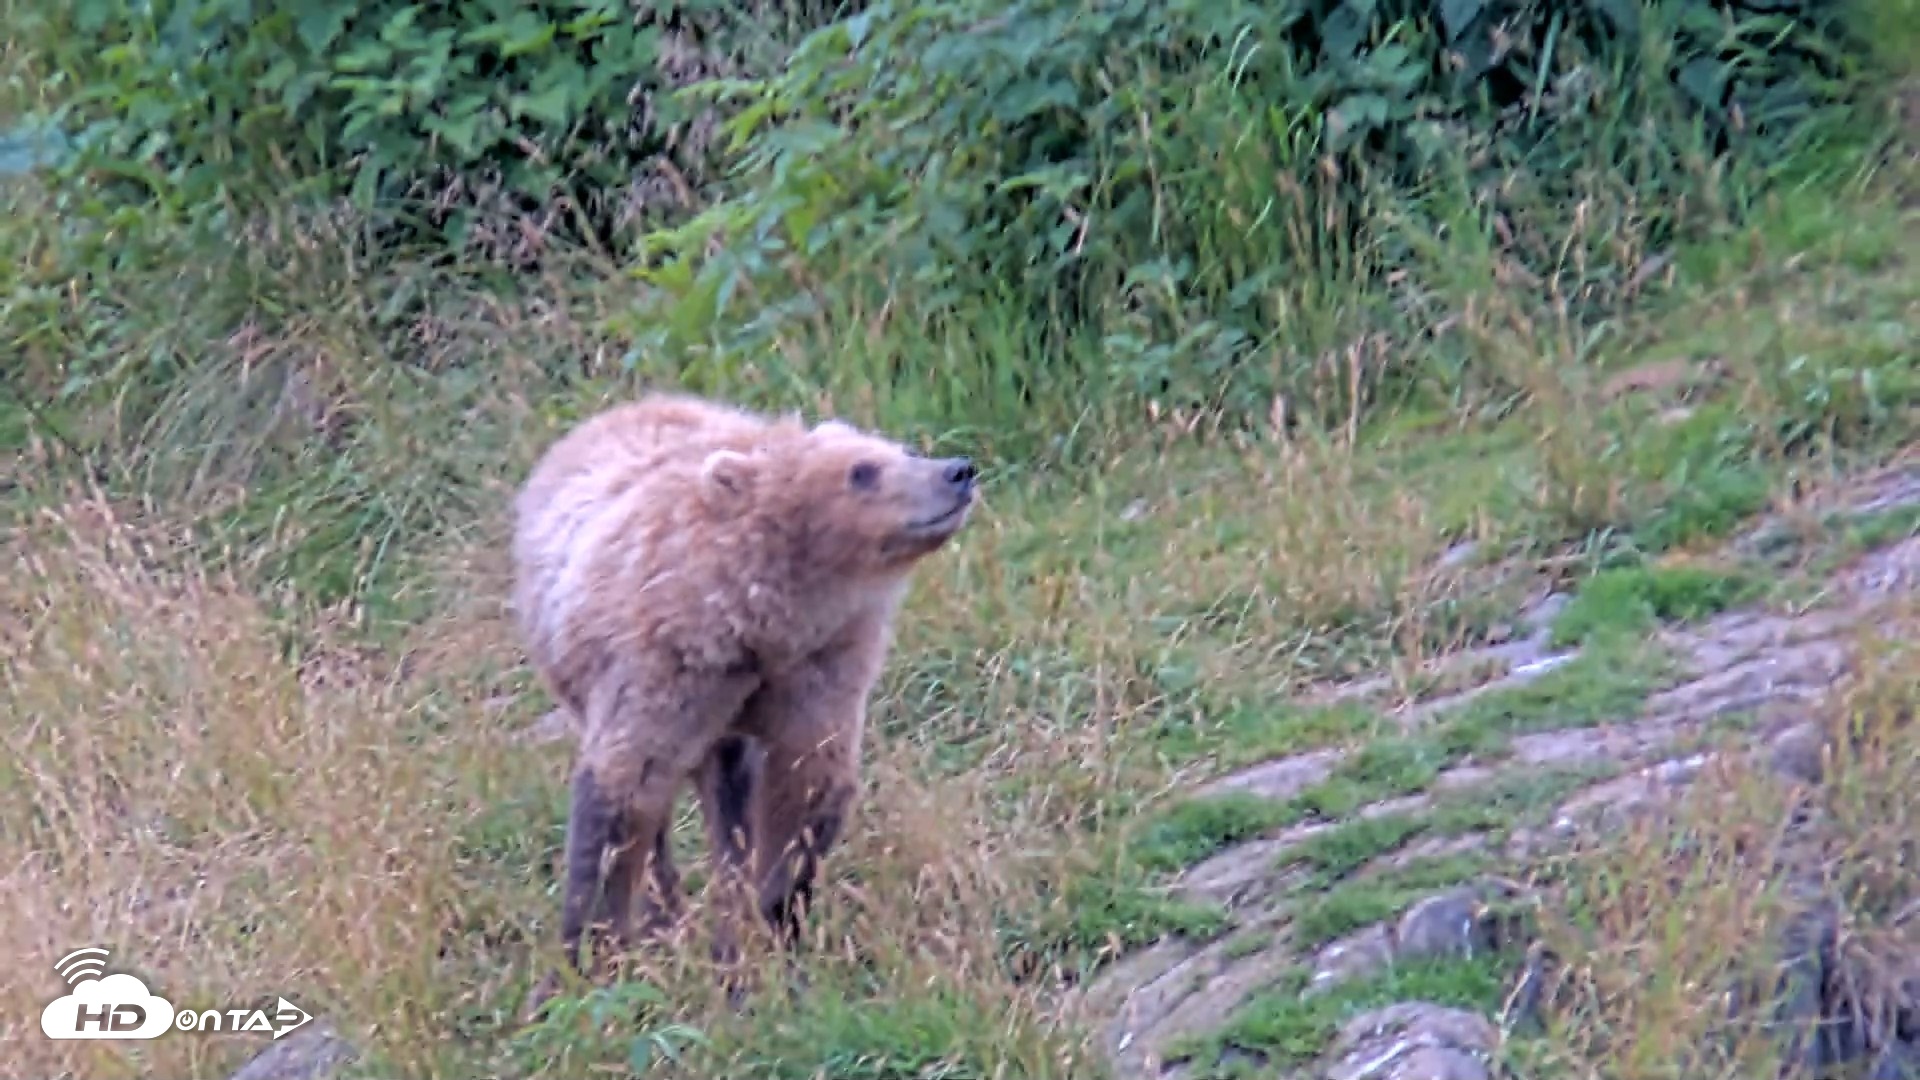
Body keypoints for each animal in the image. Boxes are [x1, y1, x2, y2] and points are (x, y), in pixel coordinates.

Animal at [508, 392, 978, 1006]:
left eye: (903, 450)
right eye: (862, 471)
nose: (958, 470)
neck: (759, 625)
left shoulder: (821, 667)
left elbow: (800, 793)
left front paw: (762, 936)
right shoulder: (666, 669)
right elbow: (621, 797)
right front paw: (581, 960)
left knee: (730, 796)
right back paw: (664, 911)